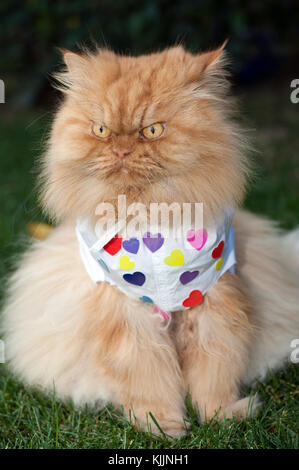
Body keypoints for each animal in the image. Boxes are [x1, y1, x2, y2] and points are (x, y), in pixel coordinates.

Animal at [2, 44, 299, 436]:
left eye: (152, 130)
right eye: (101, 130)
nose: (121, 151)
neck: (149, 220)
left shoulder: (213, 305)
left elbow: (214, 374)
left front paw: (220, 418)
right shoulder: (129, 317)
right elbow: (149, 377)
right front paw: (163, 426)